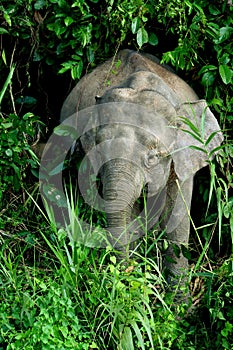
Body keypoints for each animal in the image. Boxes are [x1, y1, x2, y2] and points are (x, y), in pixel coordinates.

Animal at [48, 48, 223, 292]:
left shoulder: (185, 156)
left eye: (154, 157)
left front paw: (178, 301)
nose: (124, 276)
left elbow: (176, 217)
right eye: (99, 151)